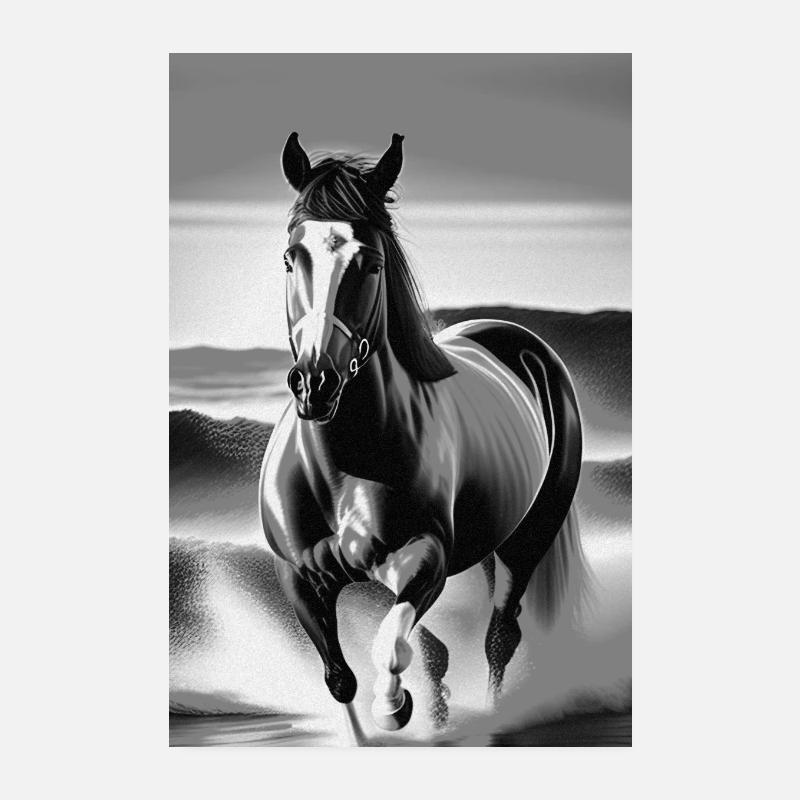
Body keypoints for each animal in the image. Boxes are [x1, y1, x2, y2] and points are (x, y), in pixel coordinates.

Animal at [259, 132, 589, 742]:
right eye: (292, 257)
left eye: (370, 262)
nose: (316, 383)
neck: (347, 467)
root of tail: (524, 343)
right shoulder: (299, 578)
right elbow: (342, 678)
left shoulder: (424, 558)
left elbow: (390, 646)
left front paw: (395, 707)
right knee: (443, 648)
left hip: (527, 539)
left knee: (499, 637)